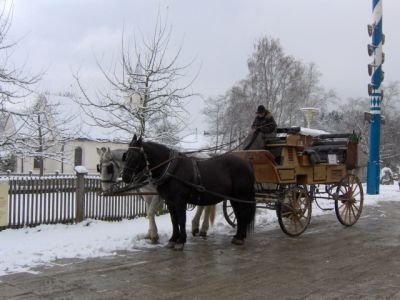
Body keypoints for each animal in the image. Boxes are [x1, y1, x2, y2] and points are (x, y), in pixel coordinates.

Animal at [122, 135, 256, 250]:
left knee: (242, 213)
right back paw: (238, 236)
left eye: (135, 156)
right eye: (126, 155)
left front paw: (181, 241)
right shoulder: (170, 202)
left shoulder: (179, 201)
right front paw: (173, 239)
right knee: (238, 214)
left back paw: (237, 237)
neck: (171, 169)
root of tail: (247, 163)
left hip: (241, 195)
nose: (125, 177)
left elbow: (181, 220)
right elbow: (173, 220)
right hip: (233, 197)